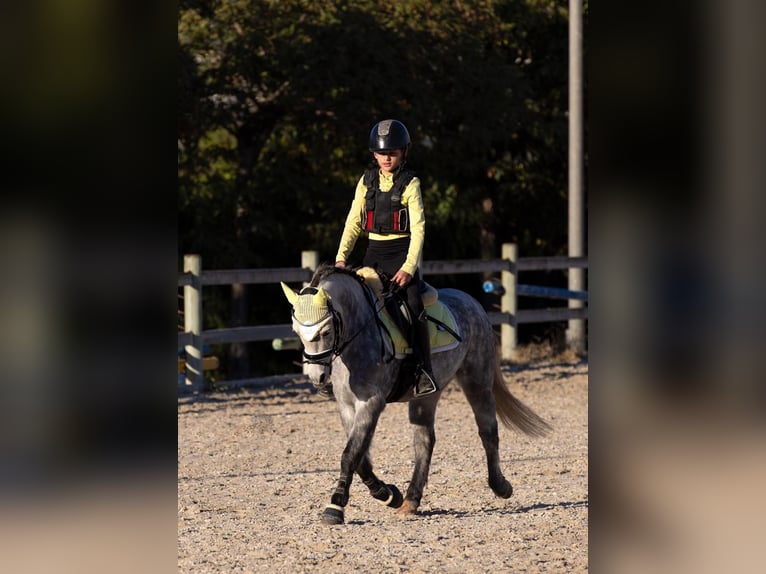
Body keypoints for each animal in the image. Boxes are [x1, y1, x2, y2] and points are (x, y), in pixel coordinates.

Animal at [280, 263, 551, 525]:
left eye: (325, 332)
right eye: (296, 332)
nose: (316, 377)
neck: (358, 333)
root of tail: (472, 302)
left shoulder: (371, 403)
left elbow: (350, 454)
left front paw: (335, 508)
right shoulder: (347, 405)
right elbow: (360, 458)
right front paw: (388, 494)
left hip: (477, 381)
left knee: (487, 432)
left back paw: (501, 486)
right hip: (427, 395)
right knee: (424, 441)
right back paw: (411, 500)